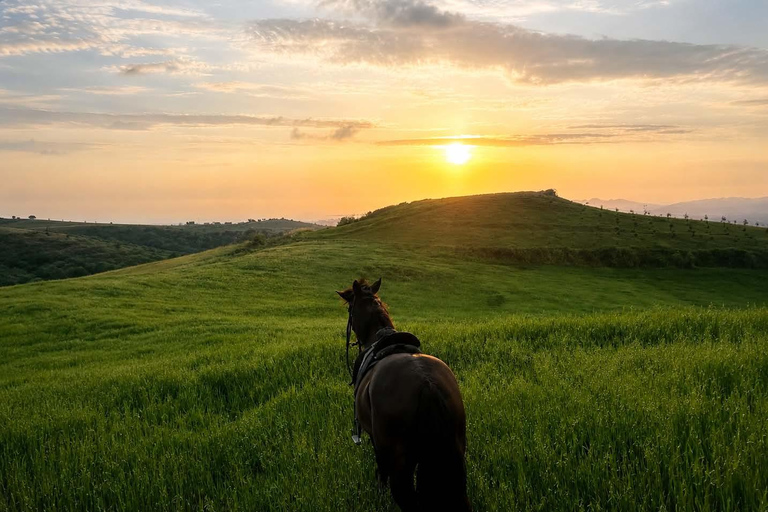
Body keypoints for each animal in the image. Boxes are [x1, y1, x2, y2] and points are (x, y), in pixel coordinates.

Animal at [337, 278, 471, 512]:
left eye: (349, 309)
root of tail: (427, 385)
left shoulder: (377, 441)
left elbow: (380, 470)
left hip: (401, 463)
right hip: (453, 453)